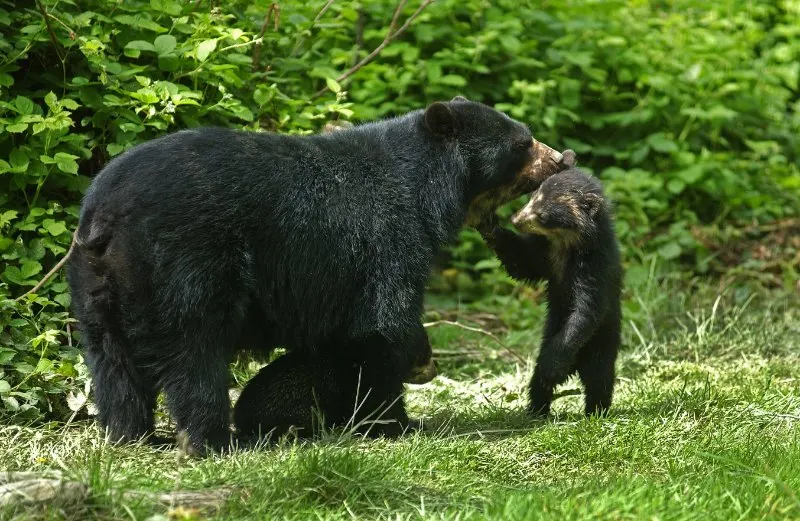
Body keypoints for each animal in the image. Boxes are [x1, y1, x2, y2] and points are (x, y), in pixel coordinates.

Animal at [69, 97, 568, 456]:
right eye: (522, 143)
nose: (562, 158)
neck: (427, 188)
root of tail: (105, 215)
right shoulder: (387, 238)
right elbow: (382, 325)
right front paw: (397, 423)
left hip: (96, 285)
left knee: (112, 363)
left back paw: (132, 435)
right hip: (186, 264)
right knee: (195, 352)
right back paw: (210, 441)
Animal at [478, 167, 620, 418]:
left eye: (543, 215)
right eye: (532, 197)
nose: (515, 219)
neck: (567, 242)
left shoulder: (595, 268)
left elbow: (586, 311)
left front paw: (552, 368)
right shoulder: (546, 253)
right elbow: (523, 262)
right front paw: (488, 224)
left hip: (602, 341)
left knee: (599, 379)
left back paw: (595, 411)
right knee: (536, 381)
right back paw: (537, 410)